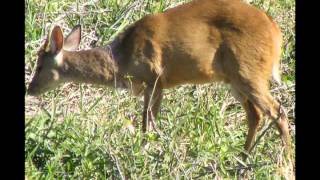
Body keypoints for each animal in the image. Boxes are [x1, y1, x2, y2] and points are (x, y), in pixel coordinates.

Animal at [28, 0, 292, 160]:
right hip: (234, 79)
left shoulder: (153, 77)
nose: (29, 89)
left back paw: (284, 164)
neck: (121, 60)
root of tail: (276, 33)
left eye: (39, 66)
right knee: (255, 115)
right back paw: (242, 161)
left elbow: (147, 123)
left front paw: (142, 154)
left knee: (278, 111)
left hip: (249, 71)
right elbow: (149, 122)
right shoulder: (157, 85)